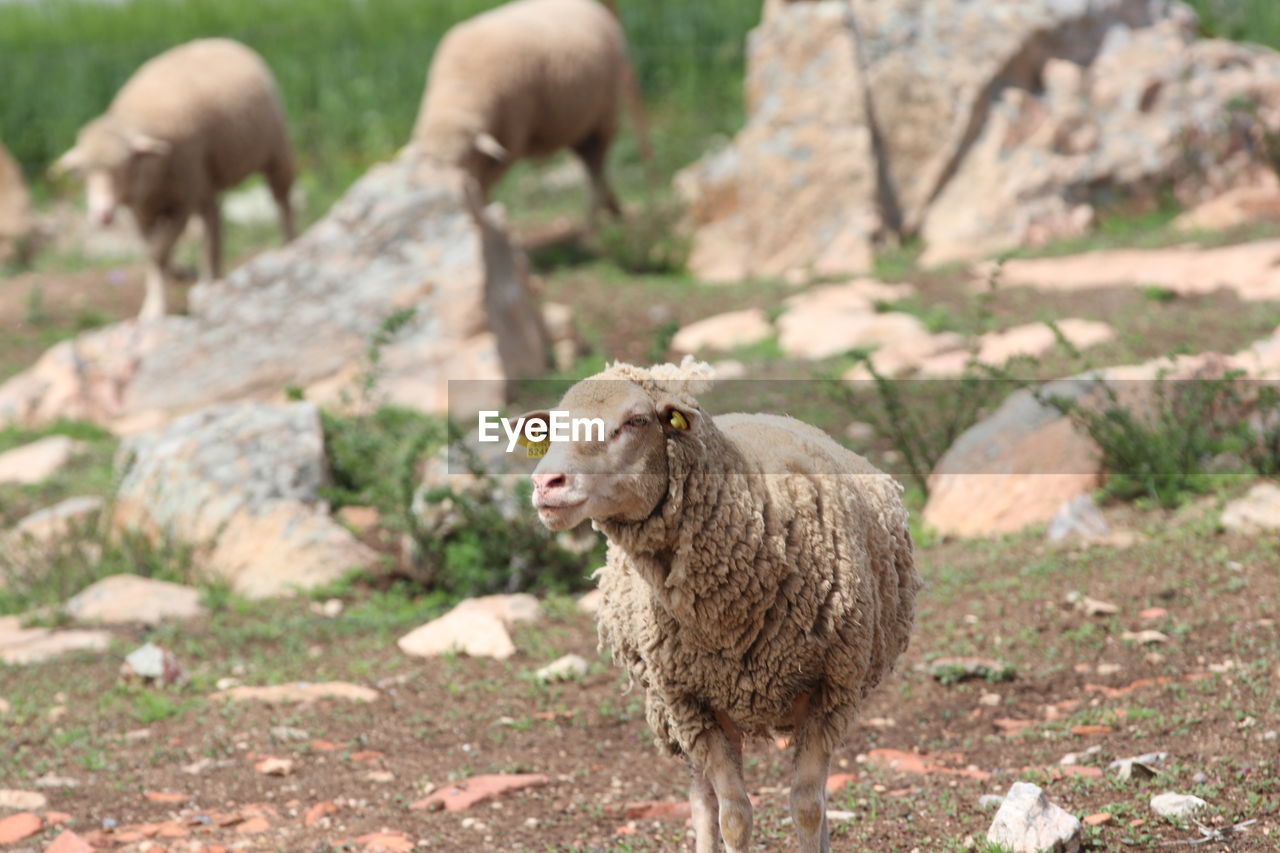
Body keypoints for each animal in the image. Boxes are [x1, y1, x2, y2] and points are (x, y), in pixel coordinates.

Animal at [52, 38, 294, 320]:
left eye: (125, 166)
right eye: (82, 173)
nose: (103, 215)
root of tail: (220, 39)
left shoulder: (181, 203)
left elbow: (159, 252)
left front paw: (156, 307)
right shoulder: (141, 211)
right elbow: (153, 252)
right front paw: (159, 297)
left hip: (275, 150)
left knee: (282, 201)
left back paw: (289, 246)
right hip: (204, 179)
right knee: (213, 221)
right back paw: (211, 278)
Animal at [412, 0, 645, 224]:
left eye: (465, 159)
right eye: (431, 165)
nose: (455, 197)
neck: (460, 89)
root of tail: (591, 5)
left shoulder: (510, 139)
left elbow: (484, 187)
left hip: (604, 116)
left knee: (595, 170)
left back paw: (595, 224)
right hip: (576, 124)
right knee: (590, 164)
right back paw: (611, 210)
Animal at [524, 358, 926, 850]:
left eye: (636, 421)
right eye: (552, 429)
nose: (547, 483)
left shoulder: (832, 692)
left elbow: (808, 807)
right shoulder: (691, 703)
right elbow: (733, 814)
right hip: (677, 709)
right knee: (702, 798)